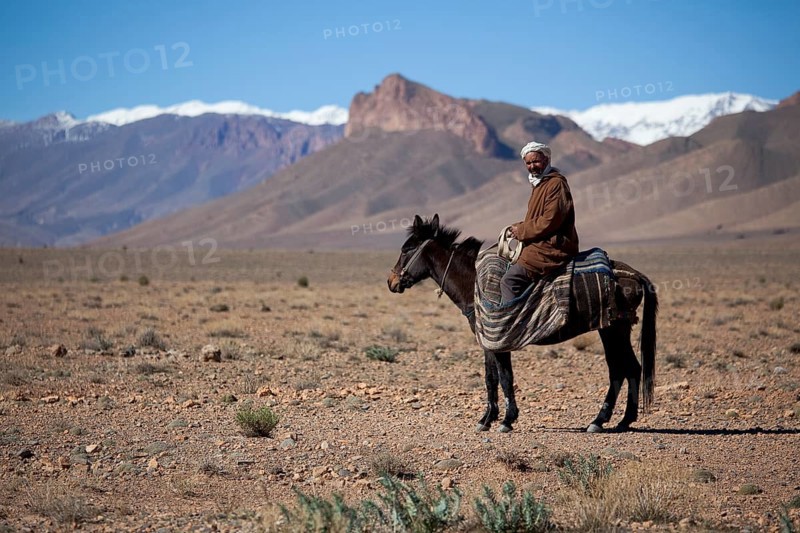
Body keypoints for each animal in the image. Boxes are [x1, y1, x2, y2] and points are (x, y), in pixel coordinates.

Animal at [387, 214, 658, 434]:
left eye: (406, 249)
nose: (392, 282)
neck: (475, 283)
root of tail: (634, 275)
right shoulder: (487, 341)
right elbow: (491, 378)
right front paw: (486, 420)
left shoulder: (498, 339)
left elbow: (505, 377)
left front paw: (507, 420)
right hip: (615, 329)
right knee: (630, 368)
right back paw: (622, 421)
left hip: (612, 329)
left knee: (620, 369)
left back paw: (601, 420)